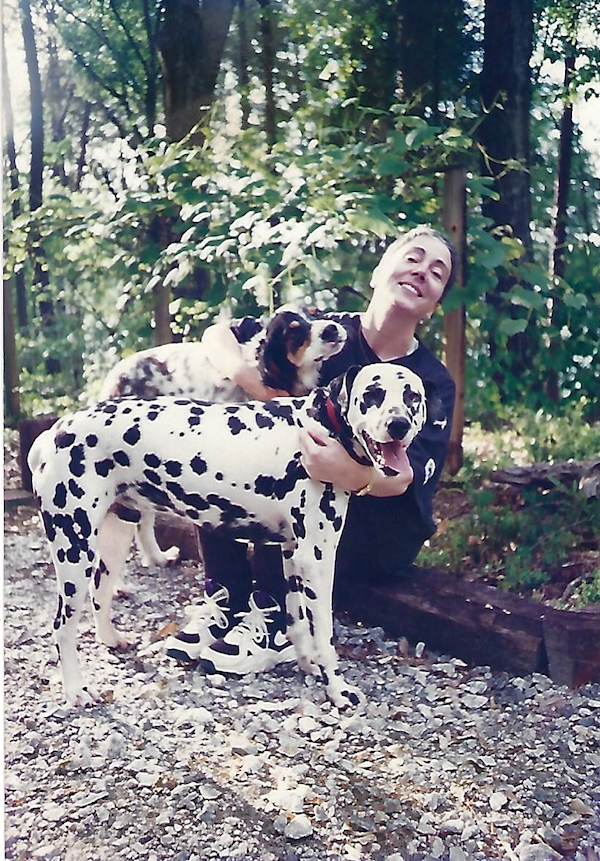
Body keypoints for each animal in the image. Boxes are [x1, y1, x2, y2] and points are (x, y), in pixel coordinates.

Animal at [28, 362, 428, 704]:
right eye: (373, 394)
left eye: (412, 397)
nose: (398, 425)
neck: (315, 428)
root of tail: (55, 432)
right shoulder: (316, 560)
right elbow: (325, 636)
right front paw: (337, 690)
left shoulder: (293, 557)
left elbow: (299, 626)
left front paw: (308, 666)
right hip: (74, 552)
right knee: (62, 628)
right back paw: (76, 690)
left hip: (111, 543)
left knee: (100, 594)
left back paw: (111, 639)